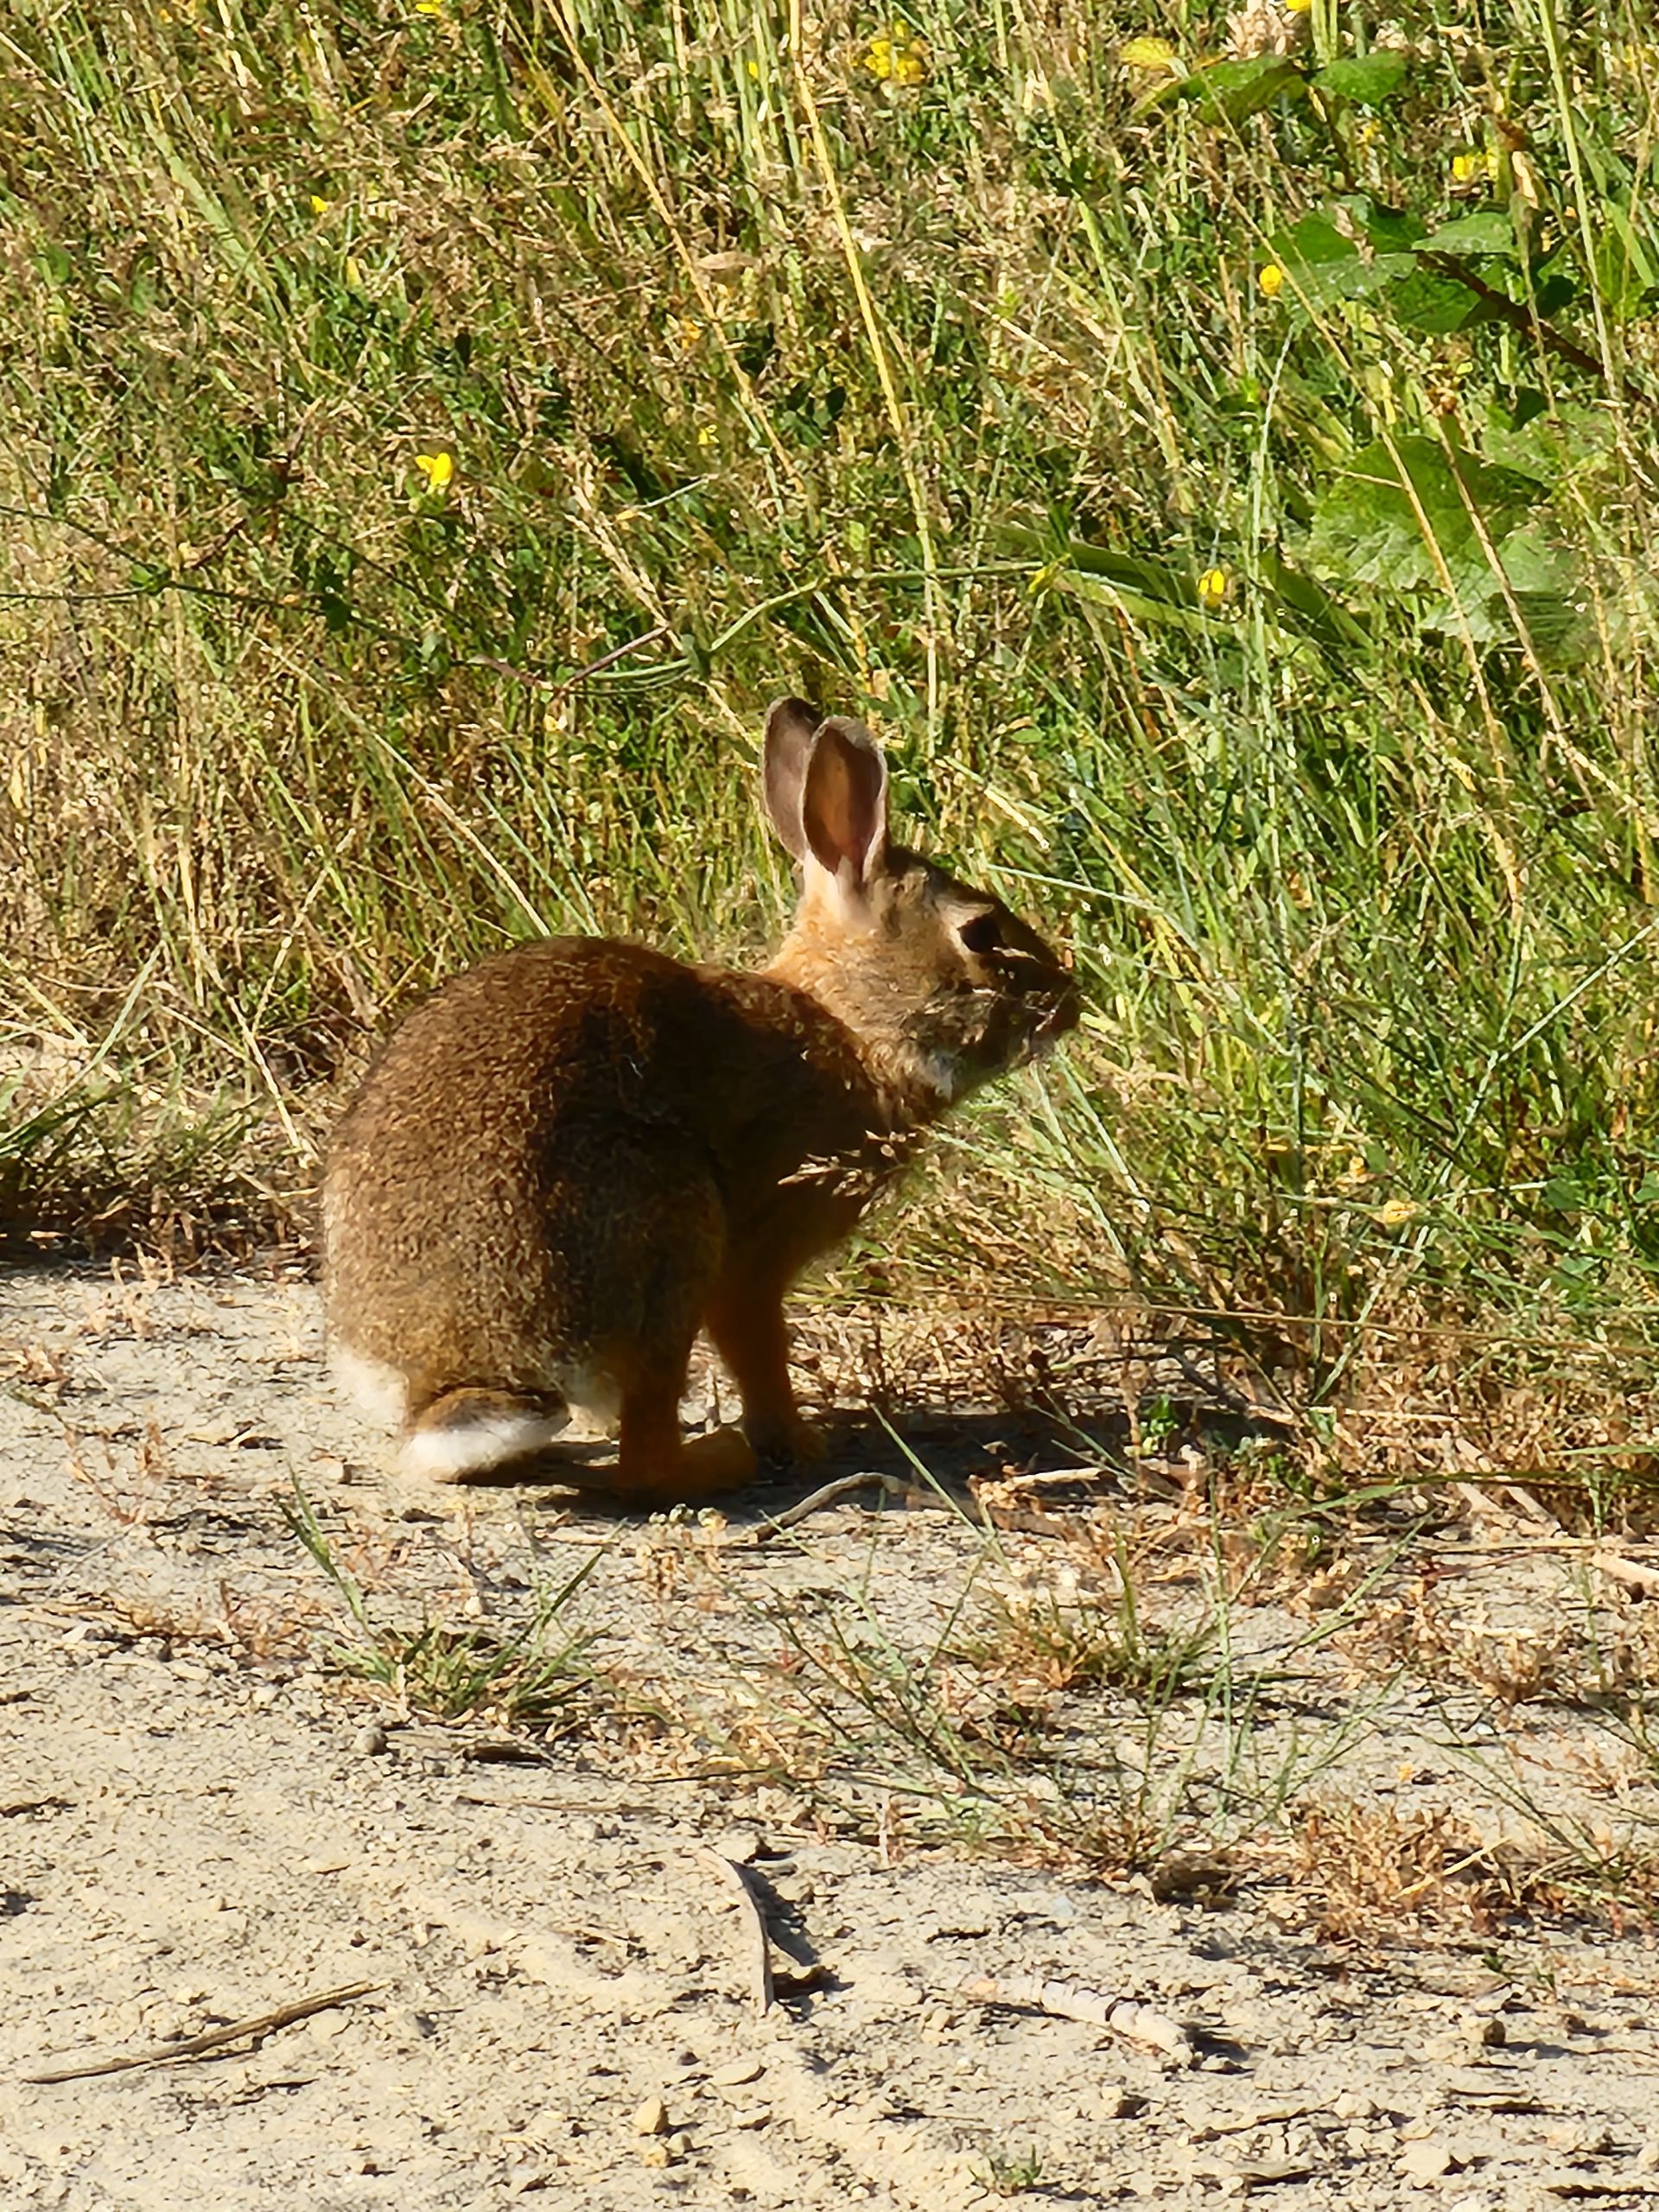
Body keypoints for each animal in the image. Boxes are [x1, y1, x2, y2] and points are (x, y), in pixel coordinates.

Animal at [321, 697, 1079, 1503]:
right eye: (982, 933)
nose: (1069, 1002)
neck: (848, 1025)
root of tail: (458, 1368)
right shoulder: (752, 1259)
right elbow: (759, 1351)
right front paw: (797, 1443)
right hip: (672, 1228)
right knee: (645, 1457)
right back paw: (719, 1459)